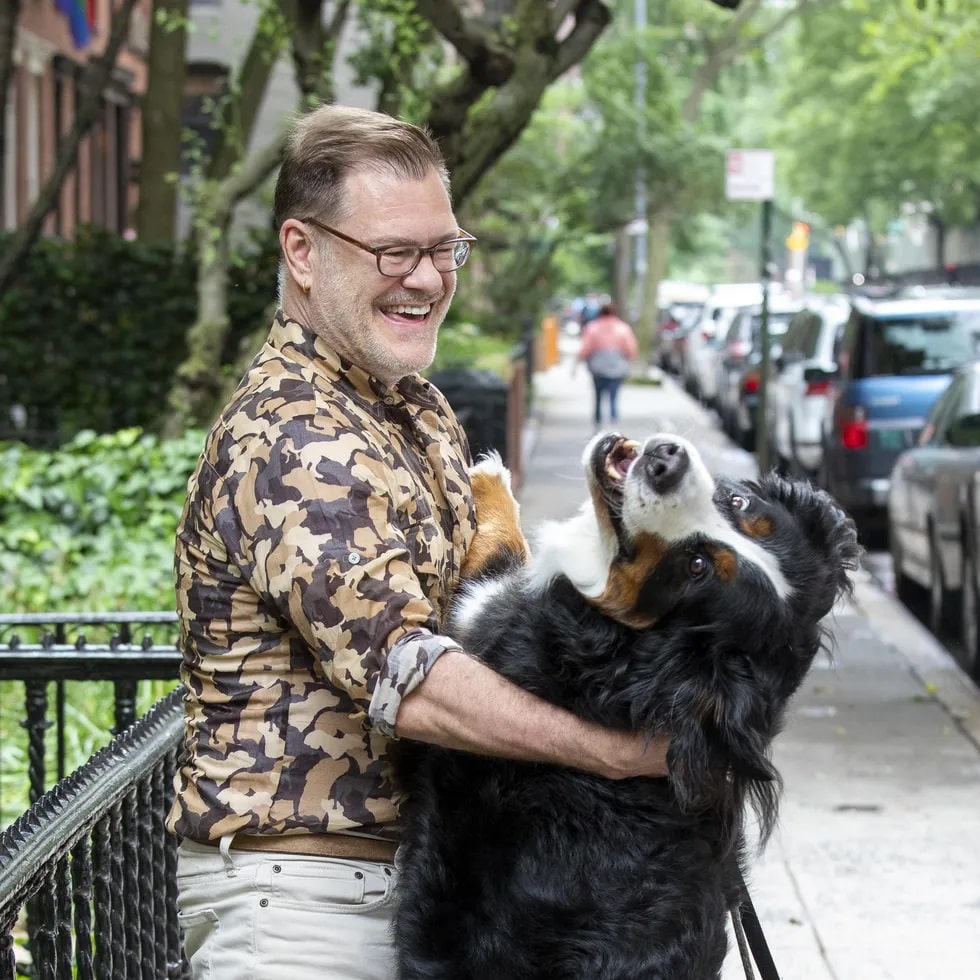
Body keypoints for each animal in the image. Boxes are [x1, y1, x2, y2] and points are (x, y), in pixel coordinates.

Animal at [392, 434, 856, 980]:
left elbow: (499, 558)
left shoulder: (480, 633)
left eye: (696, 568)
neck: (625, 660)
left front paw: (490, 478)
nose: (666, 461)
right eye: (741, 504)